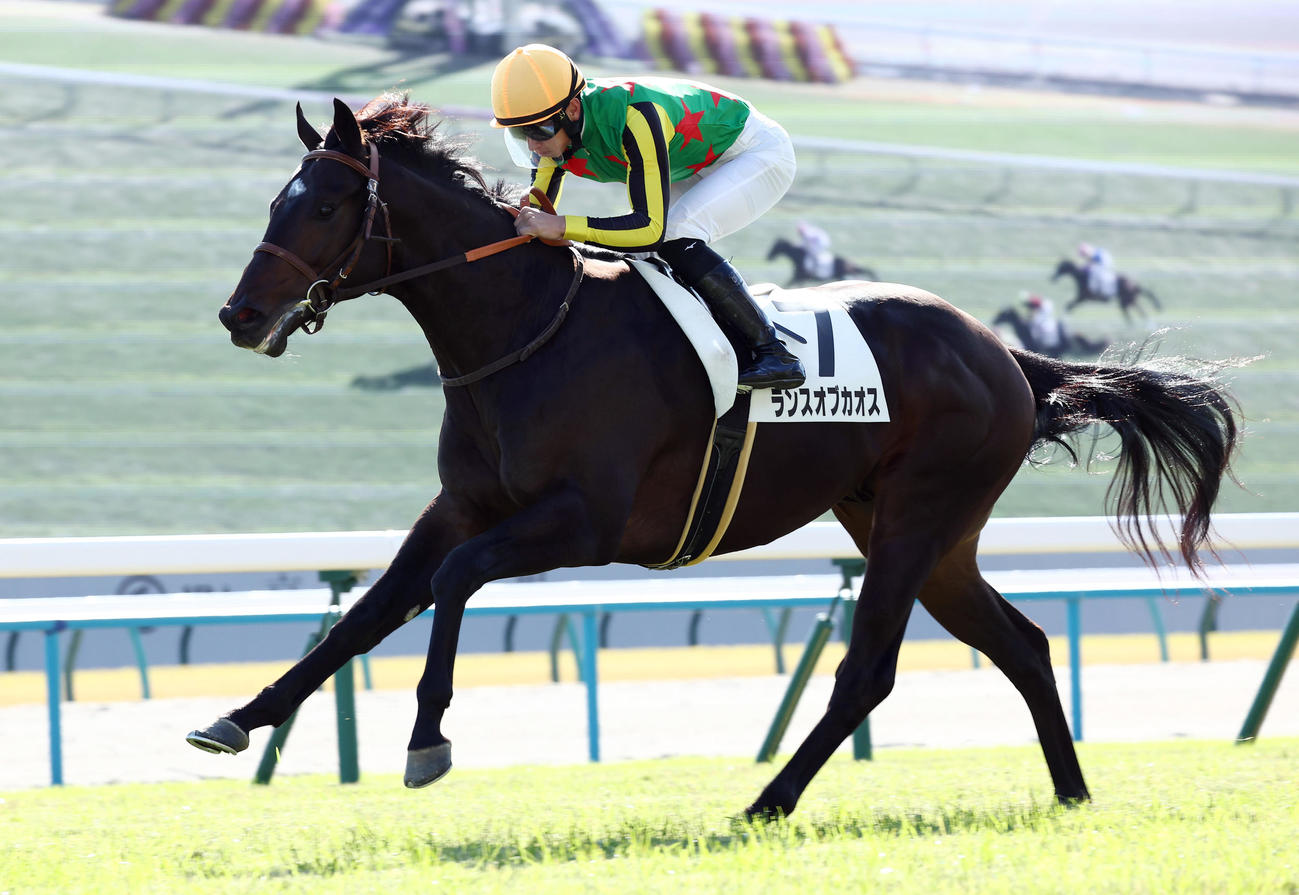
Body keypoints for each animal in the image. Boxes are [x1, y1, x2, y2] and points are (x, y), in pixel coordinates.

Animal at [193, 95, 1241, 820]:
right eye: (278, 199)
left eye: (324, 205)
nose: (239, 315)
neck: (526, 328)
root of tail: (1005, 353)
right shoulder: (462, 506)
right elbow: (366, 612)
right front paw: (237, 717)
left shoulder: (584, 523)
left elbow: (451, 582)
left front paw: (425, 738)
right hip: (918, 528)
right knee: (1019, 643)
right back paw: (1069, 791)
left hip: (916, 516)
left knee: (869, 670)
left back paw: (767, 800)